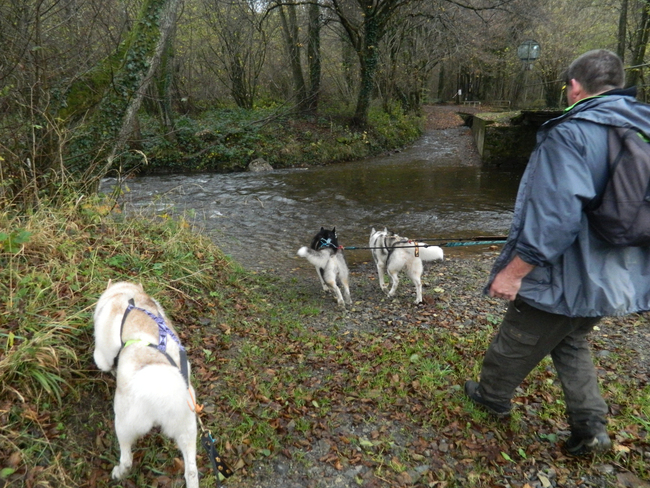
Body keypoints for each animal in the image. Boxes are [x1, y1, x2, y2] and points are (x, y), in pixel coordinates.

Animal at [92, 282, 196, 488]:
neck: (127, 294)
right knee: (192, 471)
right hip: (188, 429)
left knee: (126, 458)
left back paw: (119, 472)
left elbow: (106, 363)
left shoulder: (102, 355)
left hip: (124, 423)